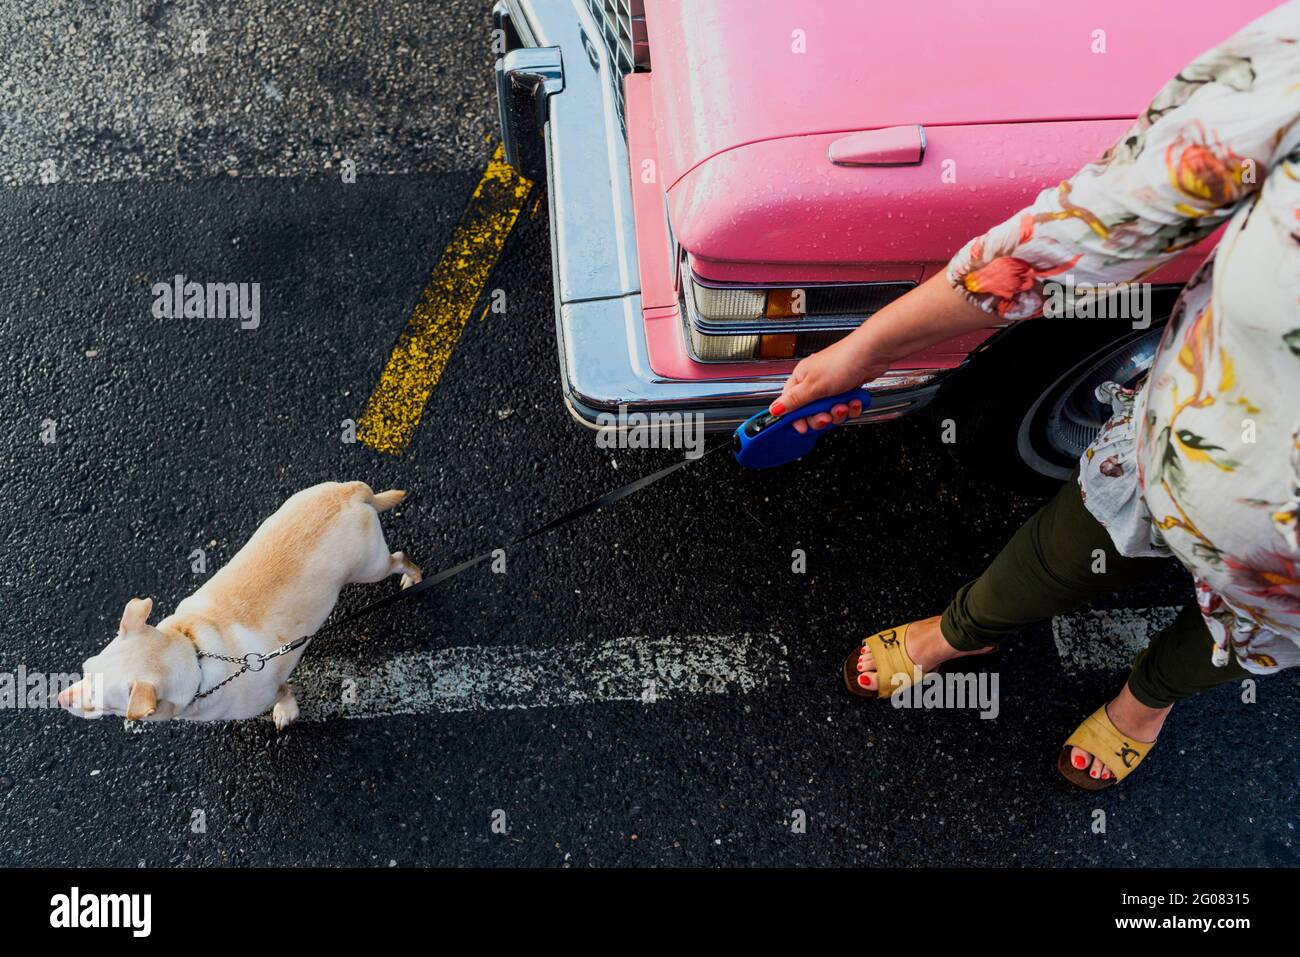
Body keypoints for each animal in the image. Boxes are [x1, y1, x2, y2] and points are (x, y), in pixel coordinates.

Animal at [57, 481, 421, 728]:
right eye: (85, 669)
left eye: (97, 702)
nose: (58, 698)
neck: (195, 651)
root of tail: (350, 491)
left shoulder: (269, 691)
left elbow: (285, 693)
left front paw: (286, 712)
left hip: (370, 568)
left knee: (400, 559)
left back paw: (413, 579)